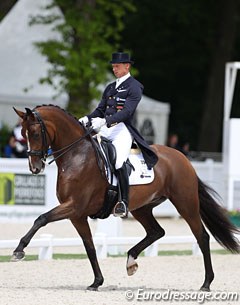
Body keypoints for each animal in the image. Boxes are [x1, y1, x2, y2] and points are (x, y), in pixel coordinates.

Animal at [11, 105, 240, 290]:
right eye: (22, 133)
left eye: (35, 133)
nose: (35, 168)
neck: (77, 156)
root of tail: (182, 158)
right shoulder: (77, 215)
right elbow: (90, 246)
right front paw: (97, 282)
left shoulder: (74, 206)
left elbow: (41, 218)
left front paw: (18, 251)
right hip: (142, 208)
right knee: (157, 231)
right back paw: (131, 261)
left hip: (186, 203)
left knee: (201, 236)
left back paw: (206, 283)